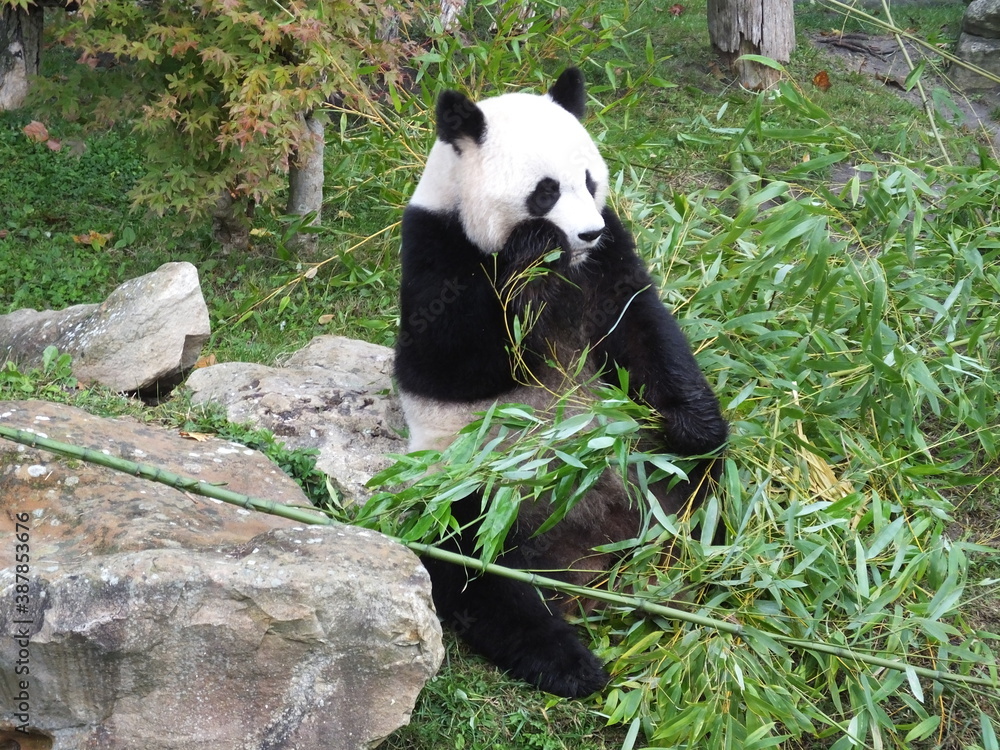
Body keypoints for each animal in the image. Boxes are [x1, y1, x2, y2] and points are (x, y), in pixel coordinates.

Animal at [394, 68, 728, 699]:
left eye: (590, 181)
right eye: (545, 191)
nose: (586, 233)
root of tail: (591, 554)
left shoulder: (611, 255)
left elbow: (640, 326)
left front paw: (696, 423)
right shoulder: (436, 244)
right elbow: (448, 359)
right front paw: (531, 252)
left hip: (647, 458)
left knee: (707, 489)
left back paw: (709, 553)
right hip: (471, 484)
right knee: (472, 565)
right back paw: (567, 662)